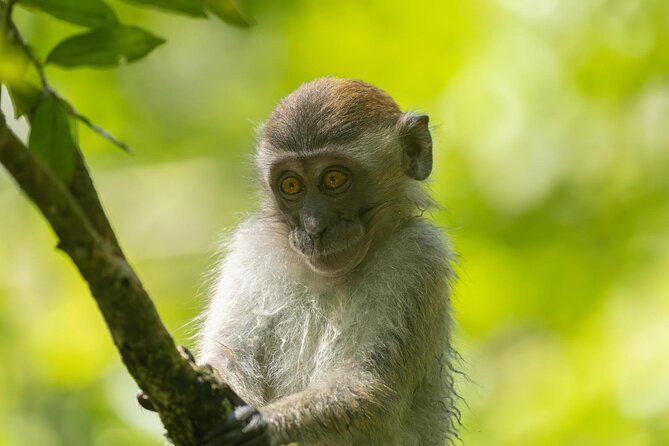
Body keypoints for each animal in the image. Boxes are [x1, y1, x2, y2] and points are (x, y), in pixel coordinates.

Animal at [142, 77, 460, 445]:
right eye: (291, 184)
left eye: (334, 179)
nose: (313, 227)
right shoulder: (251, 247)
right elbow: (231, 354)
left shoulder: (420, 255)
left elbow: (373, 393)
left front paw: (261, 423)